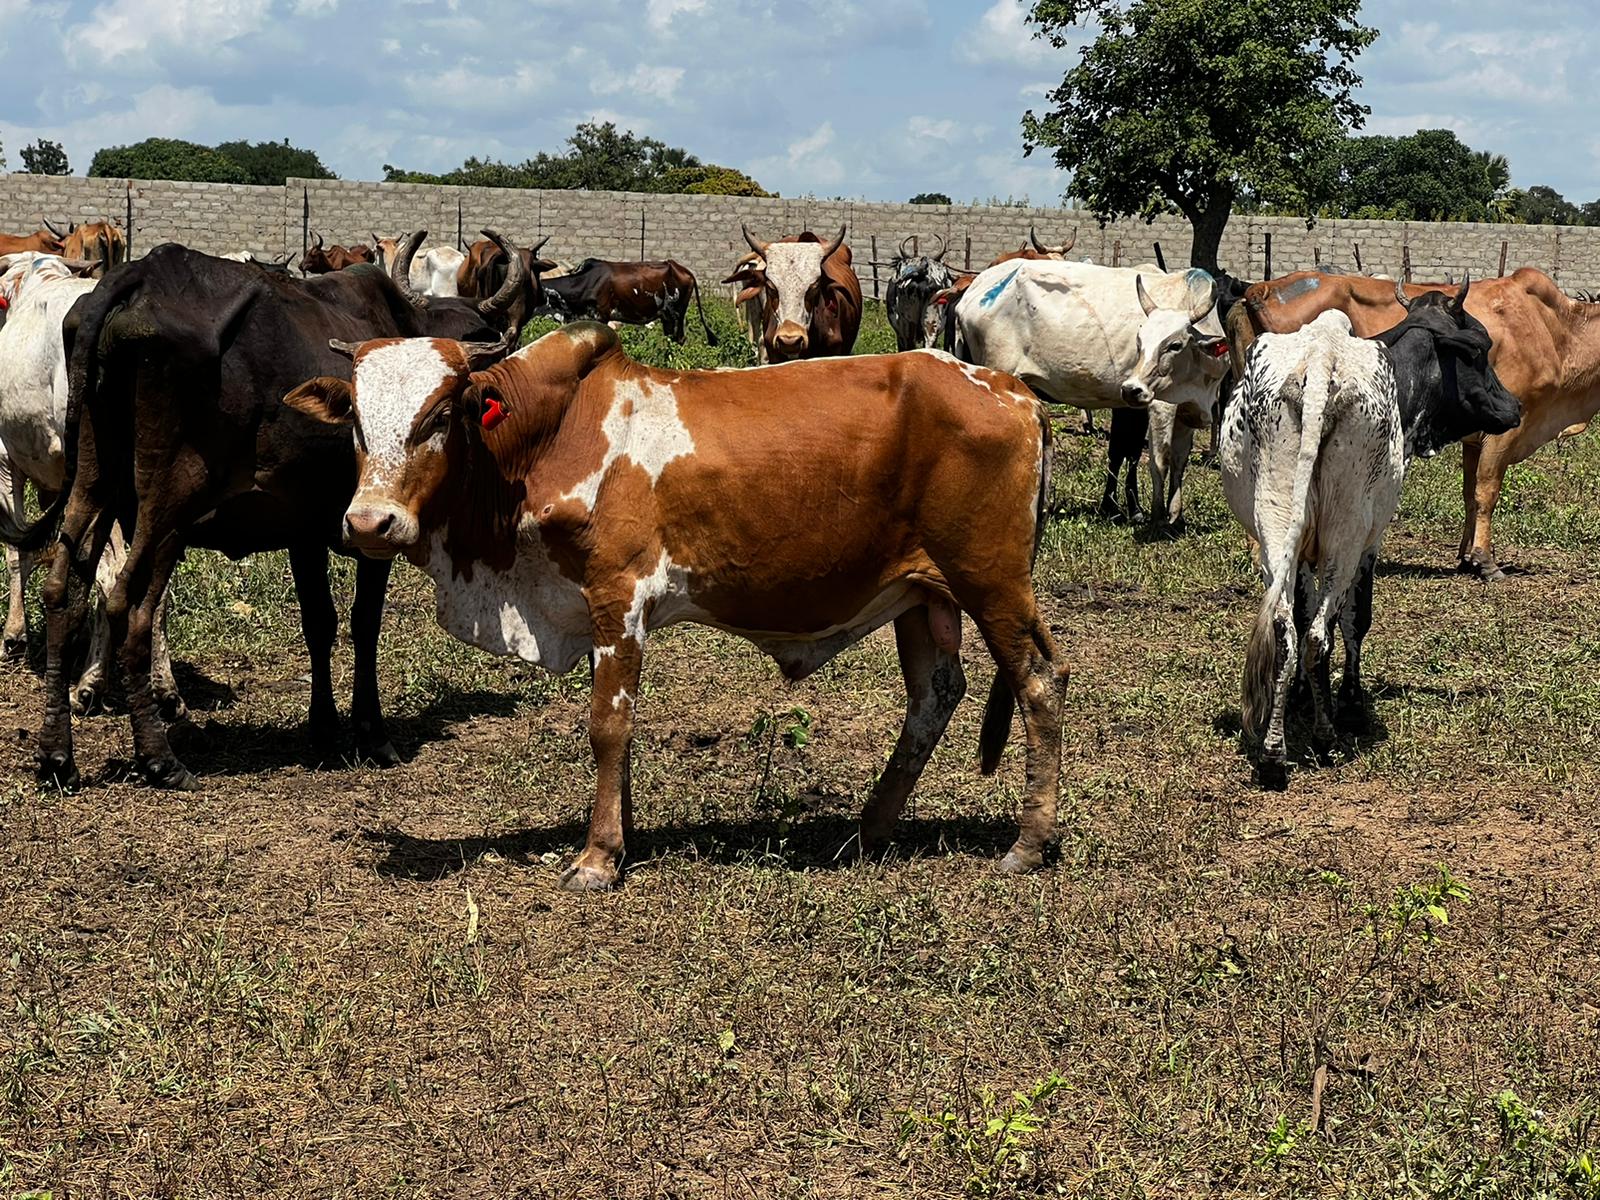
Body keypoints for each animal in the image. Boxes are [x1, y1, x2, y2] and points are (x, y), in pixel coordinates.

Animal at [7, 231, 530, 792]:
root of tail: (136, 276)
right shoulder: (374, 535)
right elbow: (363, 623)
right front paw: (372, 734)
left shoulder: (303, 528)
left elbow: (320, 623)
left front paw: (323, 729)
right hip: (165, 509)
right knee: (131, 605)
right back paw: (159, 757)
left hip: (96, 485)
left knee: (63, 591)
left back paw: (56, 753)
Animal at [283, 327, 1068, 889]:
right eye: (355, 418)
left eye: (442, 413)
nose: (369, 523)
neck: (546, 441)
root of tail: (1015, 393)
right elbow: (618, 734)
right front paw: (619, 834)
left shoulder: (618, 598)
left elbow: (607, 726)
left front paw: (596, 859)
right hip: (921, 592)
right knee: (934, 695)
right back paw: (871, 829)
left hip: (992, 582)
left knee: (1039, 684)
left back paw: (1027, 845)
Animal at [1221, 281, 1521, 789]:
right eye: (1481, 348)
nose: (1515, 407)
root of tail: (1321, 364)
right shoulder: (1369, 544)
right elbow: (1354, 620)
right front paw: (1350, 702)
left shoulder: (1303, 552)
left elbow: (1303, 616)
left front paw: (1301, 695)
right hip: (1346, 535)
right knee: (1319, 634)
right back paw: (1325, 737)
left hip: (1275, 529)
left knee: (1285, 629)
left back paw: (1273, 751)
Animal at [1235, 266, 1600, 579]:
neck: (1555, 329)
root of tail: (1258, 290)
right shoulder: (1505, 433)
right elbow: (1487, 493)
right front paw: (1485, 561)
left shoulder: (1475, 438)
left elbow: (1470, 495)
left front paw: (1466, 557)